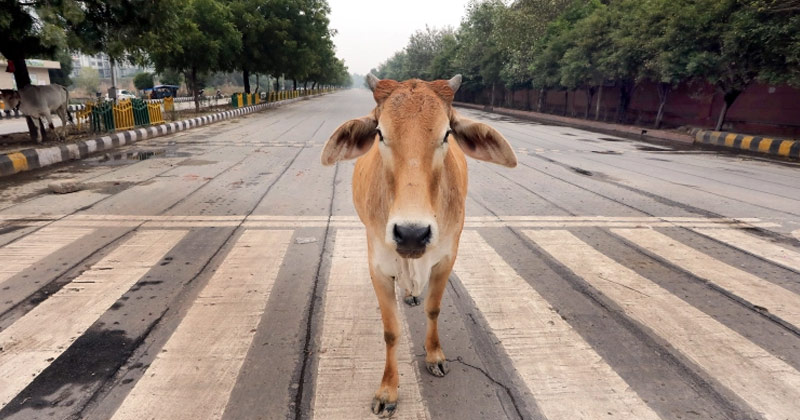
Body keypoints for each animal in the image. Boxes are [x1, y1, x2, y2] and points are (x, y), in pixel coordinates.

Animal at [321, 74, 516, 417]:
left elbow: (433, 308)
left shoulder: (446, 259)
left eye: (446, 134)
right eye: (380, 133)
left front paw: (435, 356)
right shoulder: (378, 267)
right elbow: (390, 331)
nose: (411, 233)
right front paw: (388, 390)